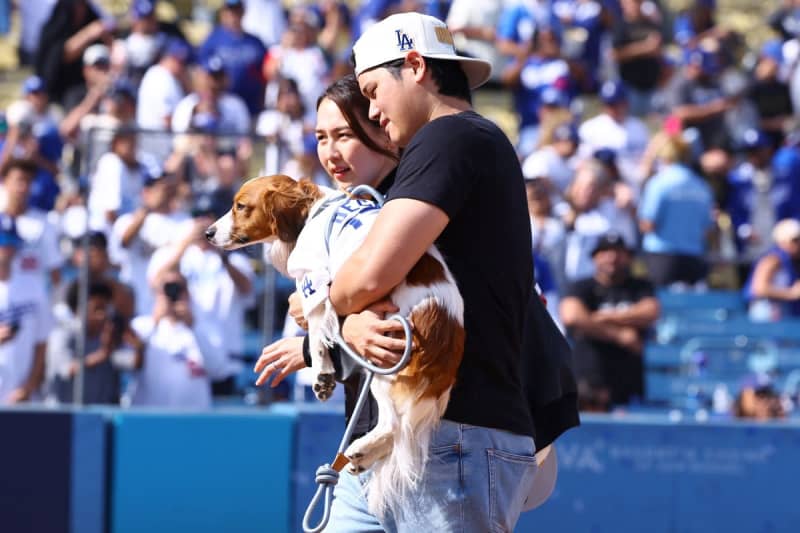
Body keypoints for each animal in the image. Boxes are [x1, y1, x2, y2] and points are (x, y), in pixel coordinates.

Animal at [206, 175, 466, 516]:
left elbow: (319, 335)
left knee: (394, 424)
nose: (207, 233)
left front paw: (322, 375)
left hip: (386, 368)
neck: (311, 212)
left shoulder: (316, 285)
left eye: (241, 206)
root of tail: (448, 335)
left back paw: (361, 448)